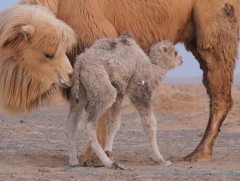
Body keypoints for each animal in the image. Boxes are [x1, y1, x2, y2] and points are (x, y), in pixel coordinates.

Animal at [17, 0, 240, 165]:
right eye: (175, 52)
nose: (181, 60)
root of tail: (80, 65)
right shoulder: (137, 90)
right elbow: (149, 122)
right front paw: (159, 159)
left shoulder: (121, 90)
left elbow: (115, 122)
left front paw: (108, 152)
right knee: (85, 122)